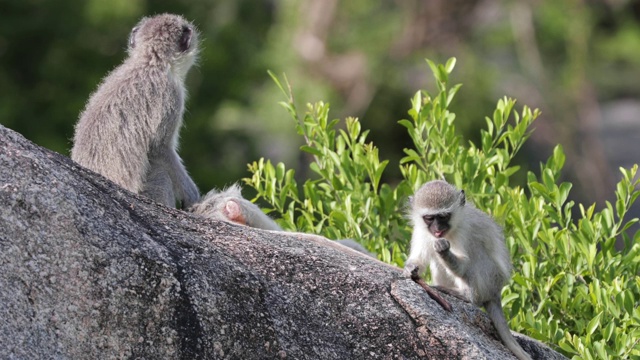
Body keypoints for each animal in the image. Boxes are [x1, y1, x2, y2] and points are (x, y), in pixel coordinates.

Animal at [402, 180, 532, 360]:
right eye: (429, 218)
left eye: (443, 216)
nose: (437, 229)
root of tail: (495, 292)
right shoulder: (421, 230)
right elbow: (419, 259)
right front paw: (410, 269)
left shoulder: (463, 231)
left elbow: (463, 265)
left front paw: (444, 250)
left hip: (490, 279)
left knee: (475, 253)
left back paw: (465, 295)